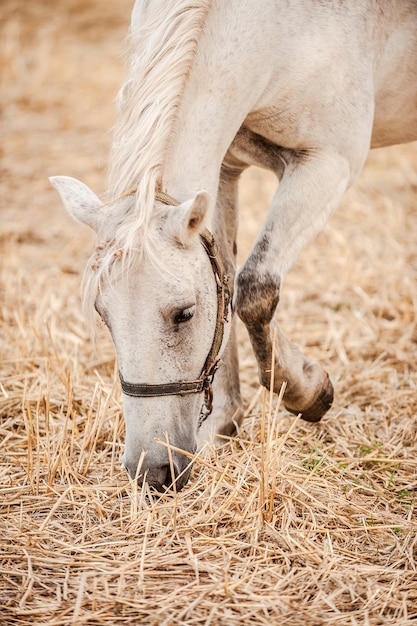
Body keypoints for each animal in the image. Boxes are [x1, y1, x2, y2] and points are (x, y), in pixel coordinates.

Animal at [49, 0, 416, 488]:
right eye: (102, 314)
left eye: (184, 314)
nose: (152, 471)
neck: (277, 30)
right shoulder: (225, 167)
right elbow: (224, 277)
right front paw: (222, 426)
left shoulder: (329, 162)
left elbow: (255, 288)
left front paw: (308, 391)